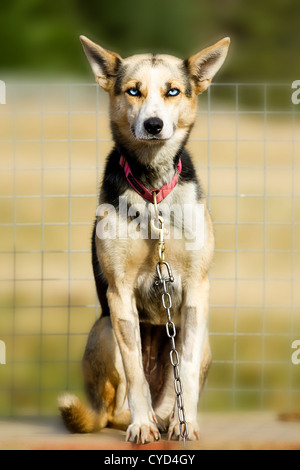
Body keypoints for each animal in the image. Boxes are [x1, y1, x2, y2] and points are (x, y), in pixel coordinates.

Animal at [59, 35, 232, 442]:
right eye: (133, 91)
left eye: (173, 91)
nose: (154, 125)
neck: (153, 191)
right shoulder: (119, 293)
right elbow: (135, 370)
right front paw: (141, 426)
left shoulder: (197, 289)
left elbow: (185, 369)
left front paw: (186, 425)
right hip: (105, 330)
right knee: (113, 409)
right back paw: (140, 419)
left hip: (200, 339)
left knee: (173, 392)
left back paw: (170, 419)